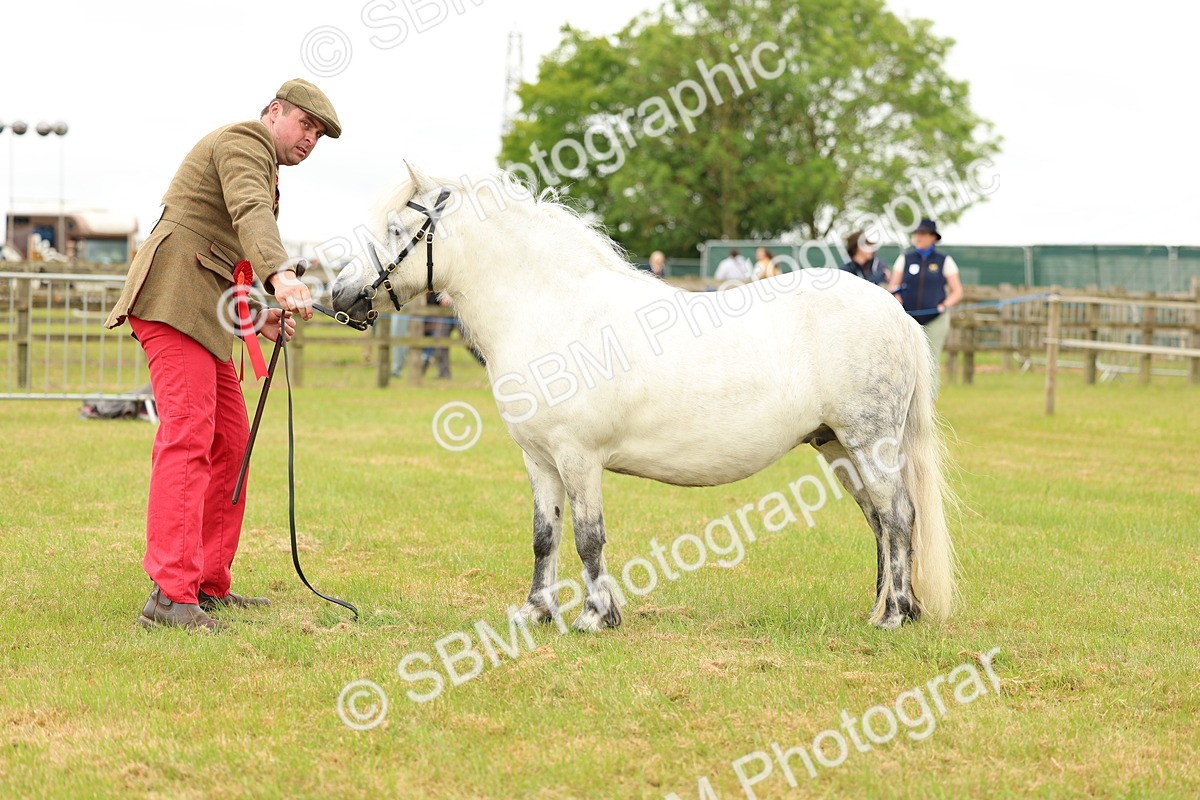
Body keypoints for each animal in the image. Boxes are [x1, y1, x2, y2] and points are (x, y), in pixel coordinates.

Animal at [331, 165, 957, 631]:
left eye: (395, 228)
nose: (339, 294)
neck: (552, 308)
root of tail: (894, 311)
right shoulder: (539, 460)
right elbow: (543, 537)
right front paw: (536, 613)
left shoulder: (578, 457)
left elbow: (588, 537)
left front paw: (595, 617)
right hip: (837, 447)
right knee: (879, 521)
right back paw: (882, 608)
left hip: (870, 442)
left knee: (898, 516)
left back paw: (895, 616)